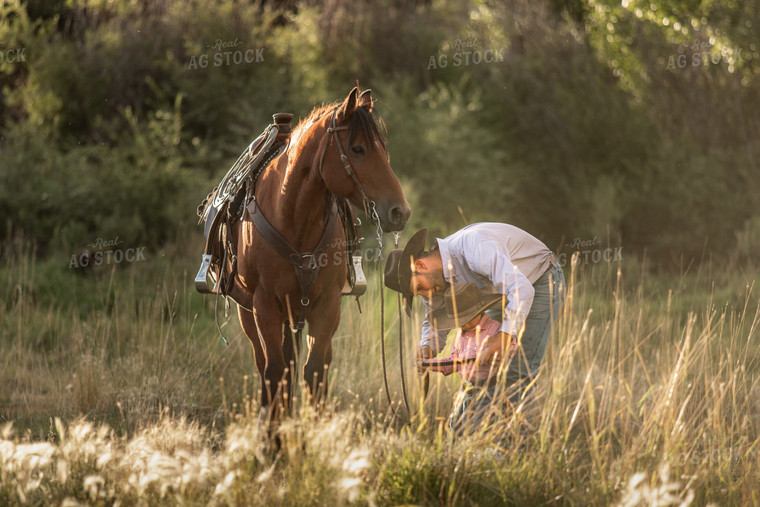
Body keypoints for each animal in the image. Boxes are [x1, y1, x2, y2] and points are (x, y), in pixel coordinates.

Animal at [230, 86, 412, 424]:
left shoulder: (326, 305)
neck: (293, 218)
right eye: (357, 149)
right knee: (267, 366)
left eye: (383, 149)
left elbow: (313, 372)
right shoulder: (264, 307)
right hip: (249, 313)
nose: (399, 212)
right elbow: (274, 373)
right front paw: (272, 436)